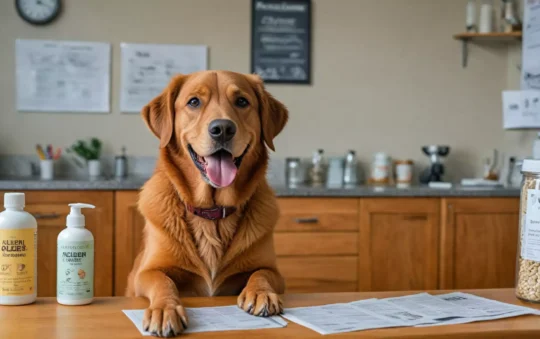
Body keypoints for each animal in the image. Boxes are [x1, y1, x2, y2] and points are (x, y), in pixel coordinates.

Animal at [126, 69, 288, 338]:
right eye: (194, 102)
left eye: (242, 101)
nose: (222, 128)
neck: (212, 213)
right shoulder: (145, 272)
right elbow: (162, 281)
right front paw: (164, 309)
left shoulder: (275, 272)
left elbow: (262, 273)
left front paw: (262, 293)